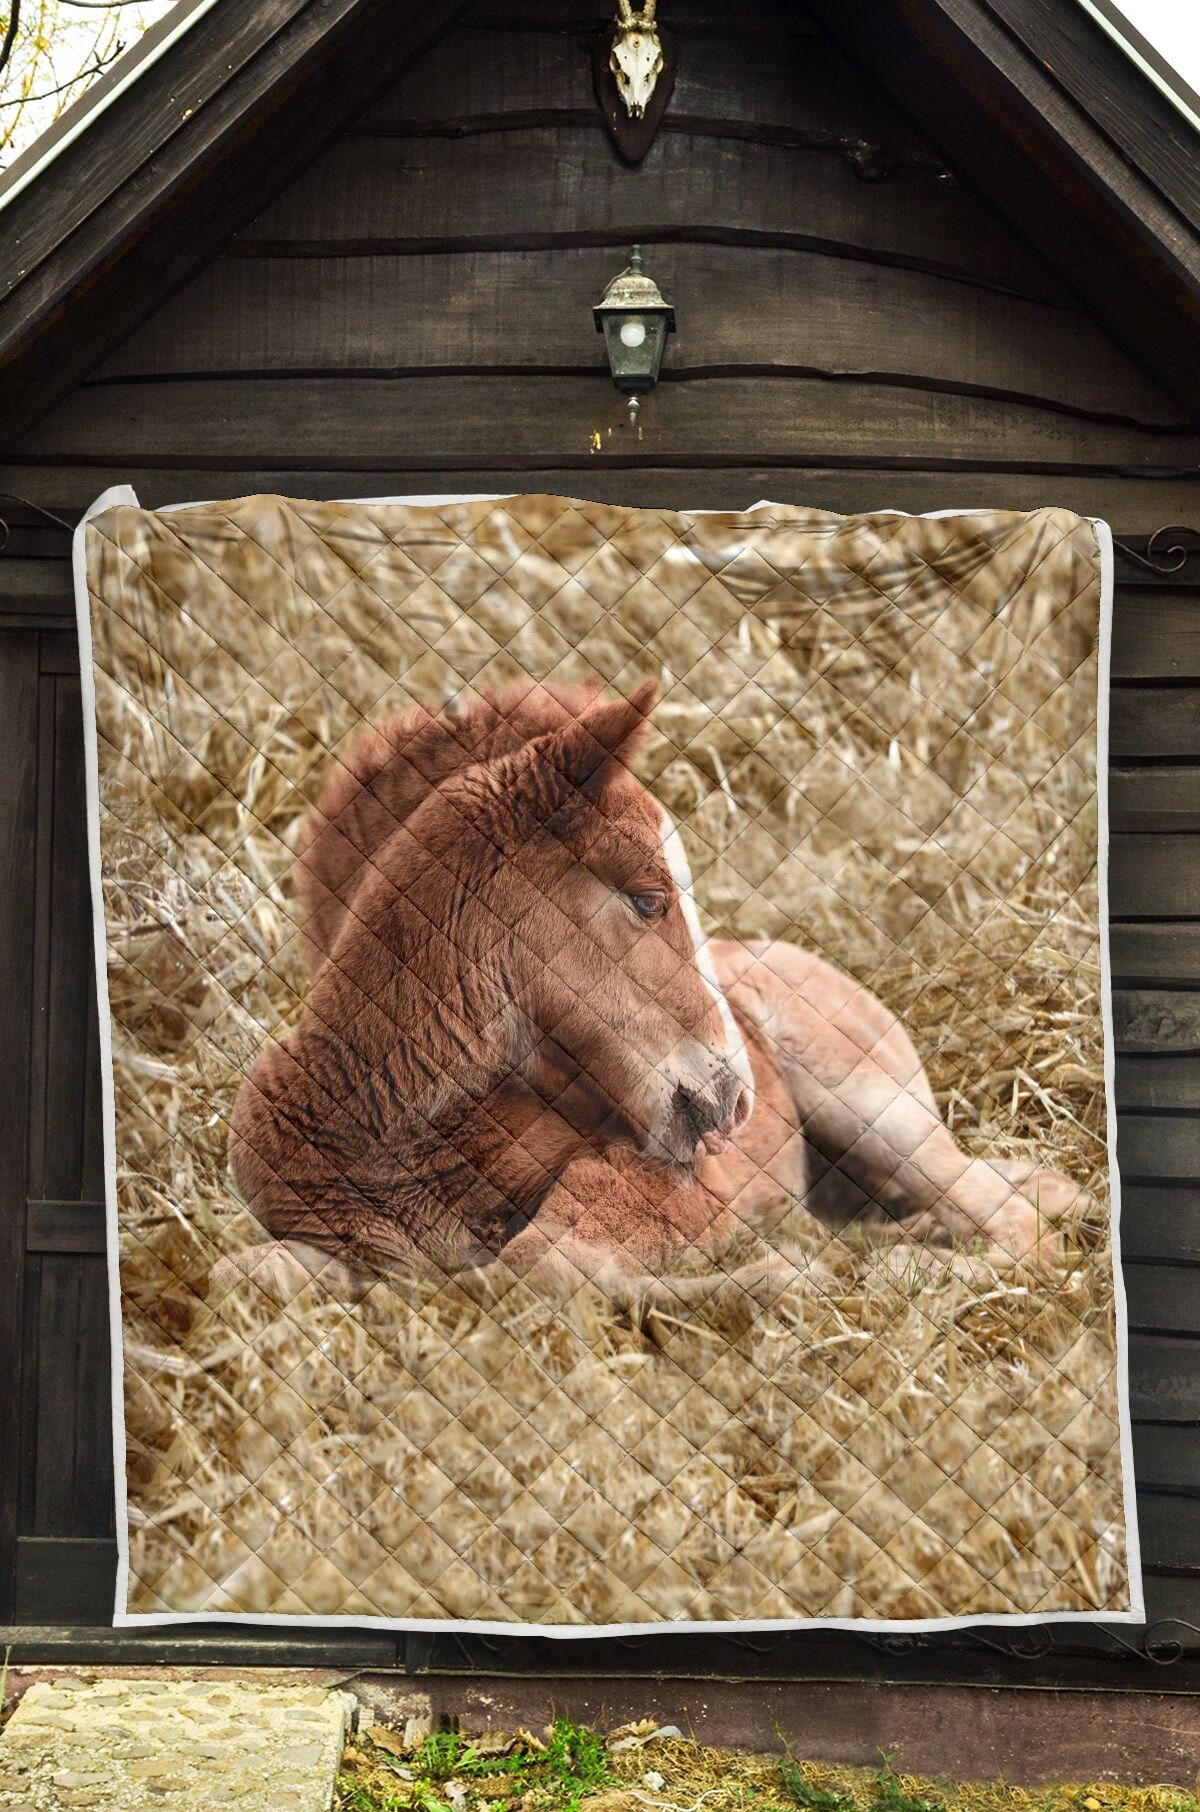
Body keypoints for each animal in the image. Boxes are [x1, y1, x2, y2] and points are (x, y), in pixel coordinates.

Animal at [221, 680, 1088, 1310]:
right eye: (647, 901)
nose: (734, 1100)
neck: (392, 1128)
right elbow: (246, 1275)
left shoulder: (675, 1193)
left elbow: (535, 1265)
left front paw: (780, 1279)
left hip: (876, 1109)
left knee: (1019, 1226)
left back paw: (905, 1271)